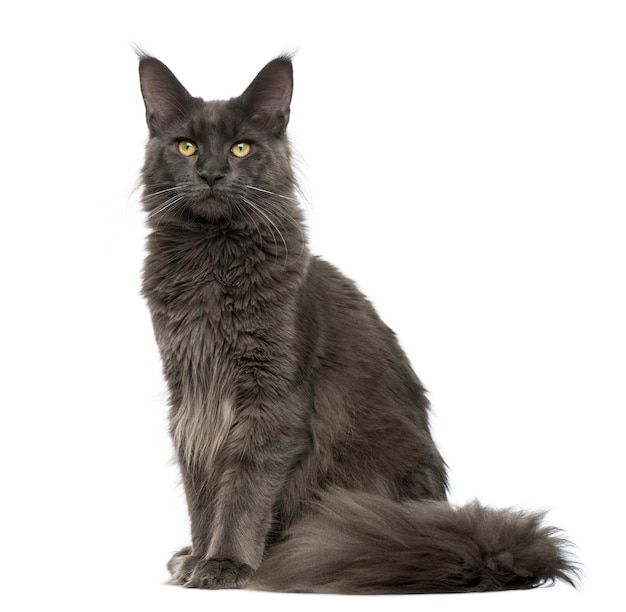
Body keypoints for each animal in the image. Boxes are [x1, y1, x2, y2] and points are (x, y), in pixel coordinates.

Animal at [136, 53, 576, 592]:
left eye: (241, 147)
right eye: (187, 146)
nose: (213, 173)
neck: (211, 261)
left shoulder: (270, 401)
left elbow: (242, 488)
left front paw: (226, 563)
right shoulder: (191, 396)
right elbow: (201, 489)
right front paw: (199, 556)